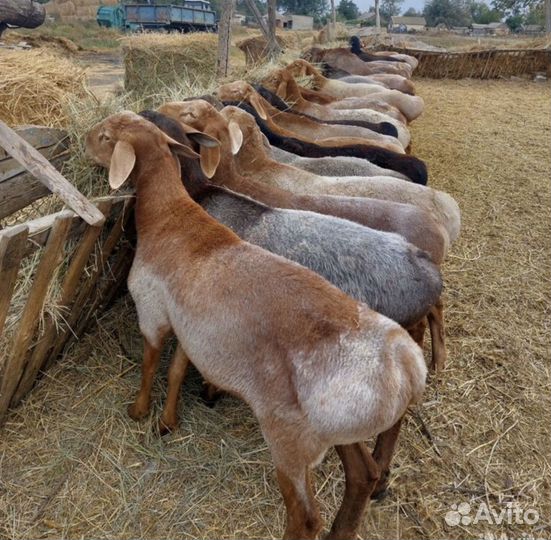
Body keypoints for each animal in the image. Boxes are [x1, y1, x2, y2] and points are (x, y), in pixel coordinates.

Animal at [87, 108, 432, 540]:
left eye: (105, 137)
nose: (84, 140)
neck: (171, 214)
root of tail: (404, 365)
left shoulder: (152, 313)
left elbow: (151, 365)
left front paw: (138, 410)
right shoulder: (193, 328)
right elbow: (178, 370)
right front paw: (167, 421)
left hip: (292, 439)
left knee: (306, 516)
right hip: (331, 429)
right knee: (362, 473)